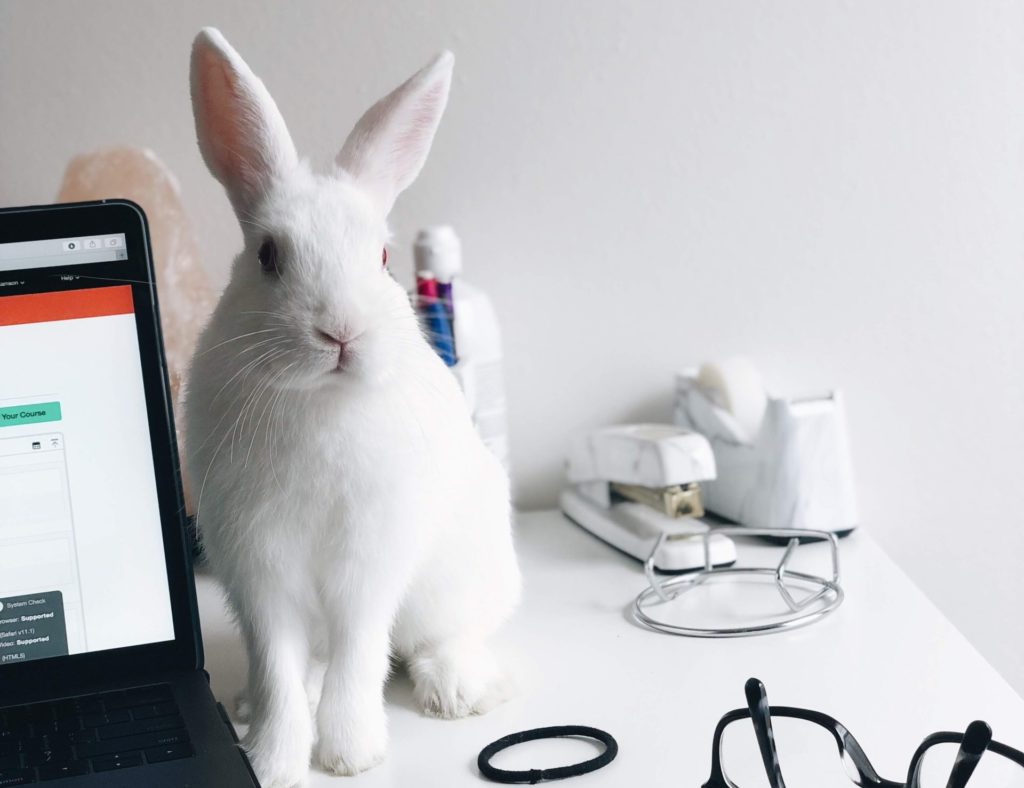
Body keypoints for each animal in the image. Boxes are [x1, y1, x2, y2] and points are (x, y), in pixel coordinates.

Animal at [183, 27, 520, 781]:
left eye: (385, 258)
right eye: (269, 255)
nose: (340, 333)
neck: (320, 398)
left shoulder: (369, 562)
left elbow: (360, 654)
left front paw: (349, 754)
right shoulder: (259, 571)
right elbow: (280, 668)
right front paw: (273, 761)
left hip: (455, 581)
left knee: (440, 638)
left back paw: (459, 691)